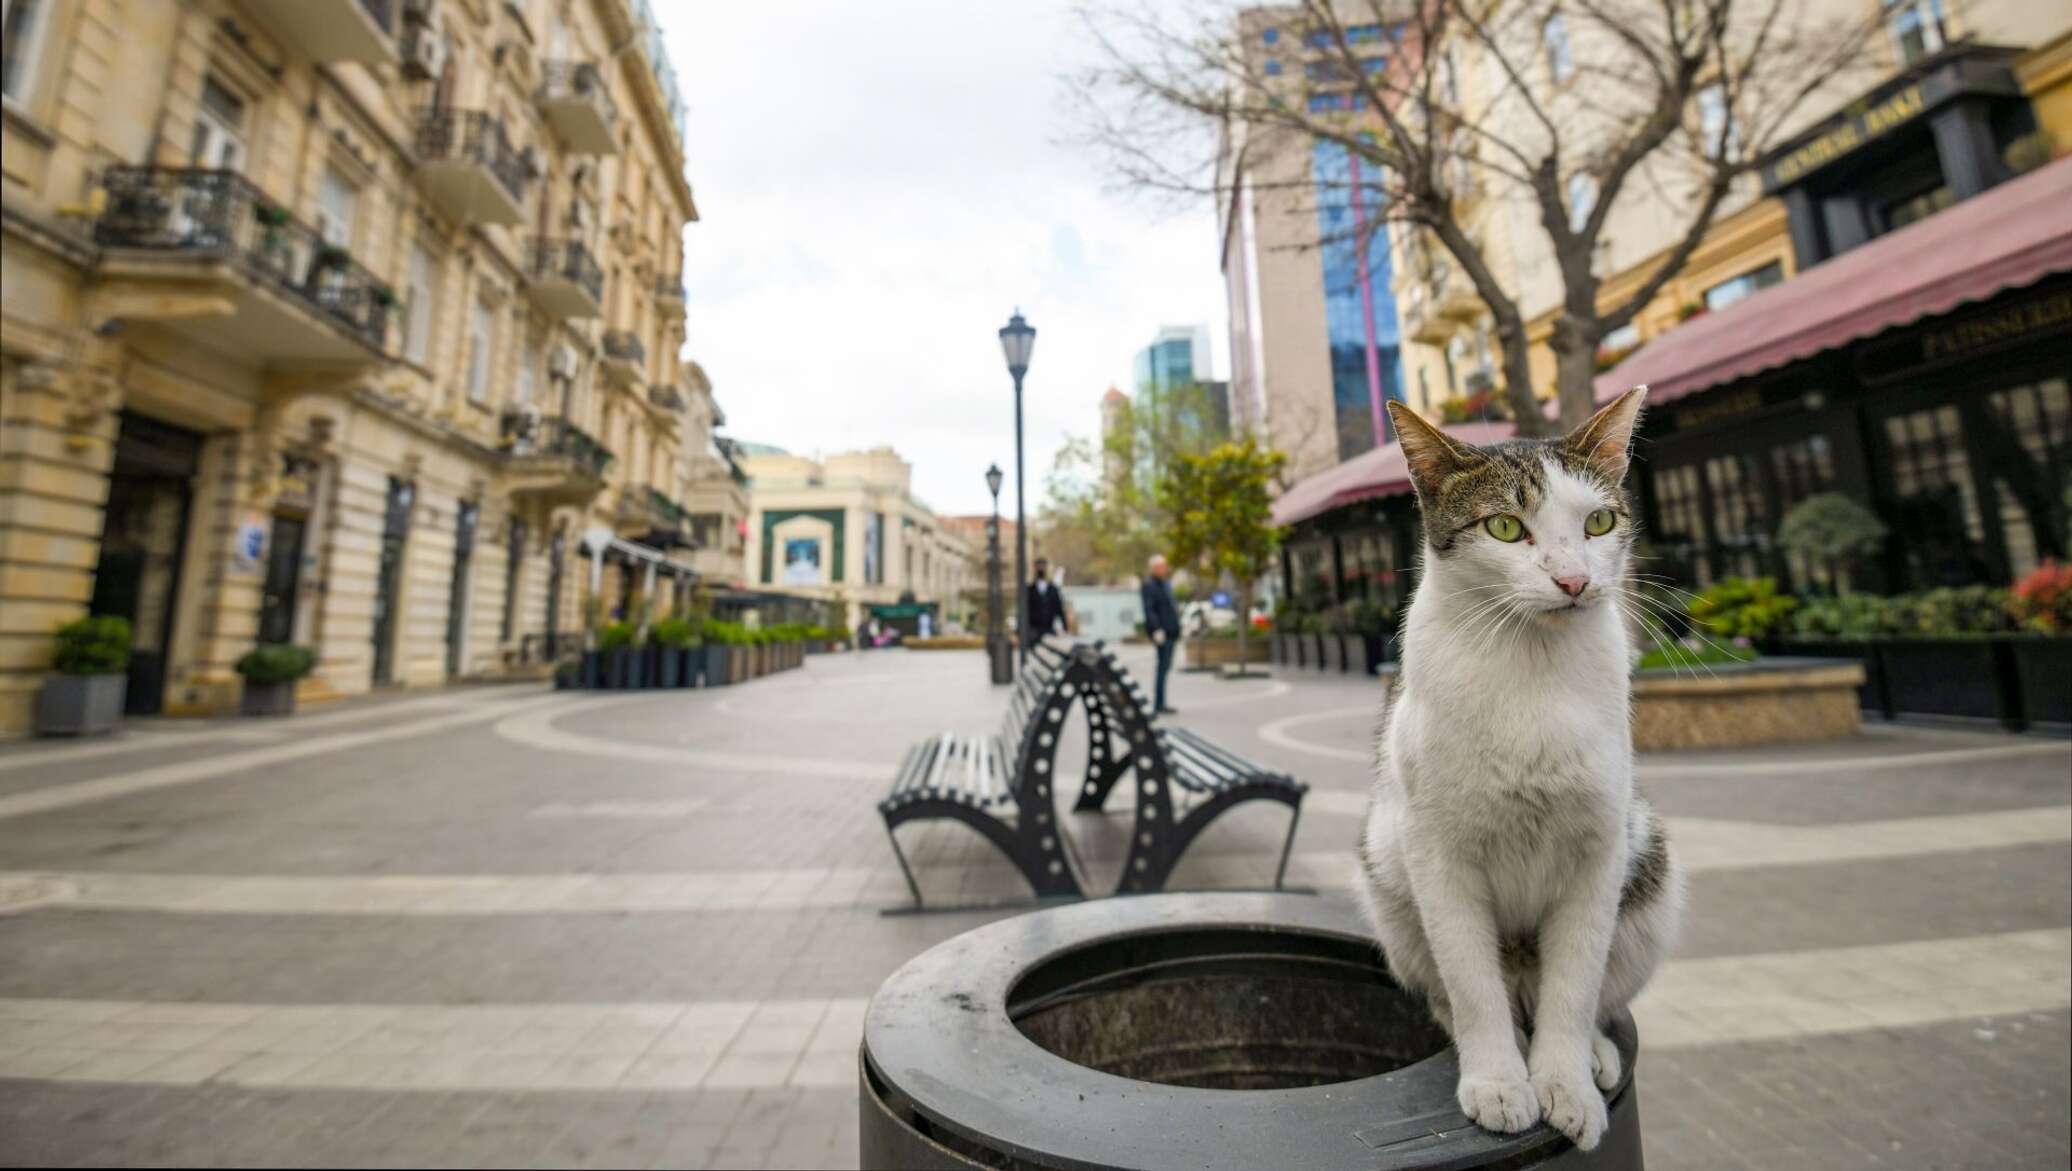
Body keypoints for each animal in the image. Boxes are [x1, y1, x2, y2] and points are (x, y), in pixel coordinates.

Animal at [1359, 389, 1682, 1152]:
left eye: (1599, 522)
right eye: (1505, 527)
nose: (1574, 580)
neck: (1532, 662)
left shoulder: (1600, 847)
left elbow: (1576, 983)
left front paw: (1563, 1082)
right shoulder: (1436, 853)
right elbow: (1473, 984)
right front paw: (1501, 1082)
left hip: (1650, 870)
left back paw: (1593, 1052)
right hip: (1389, 886)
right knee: (1452, 989)